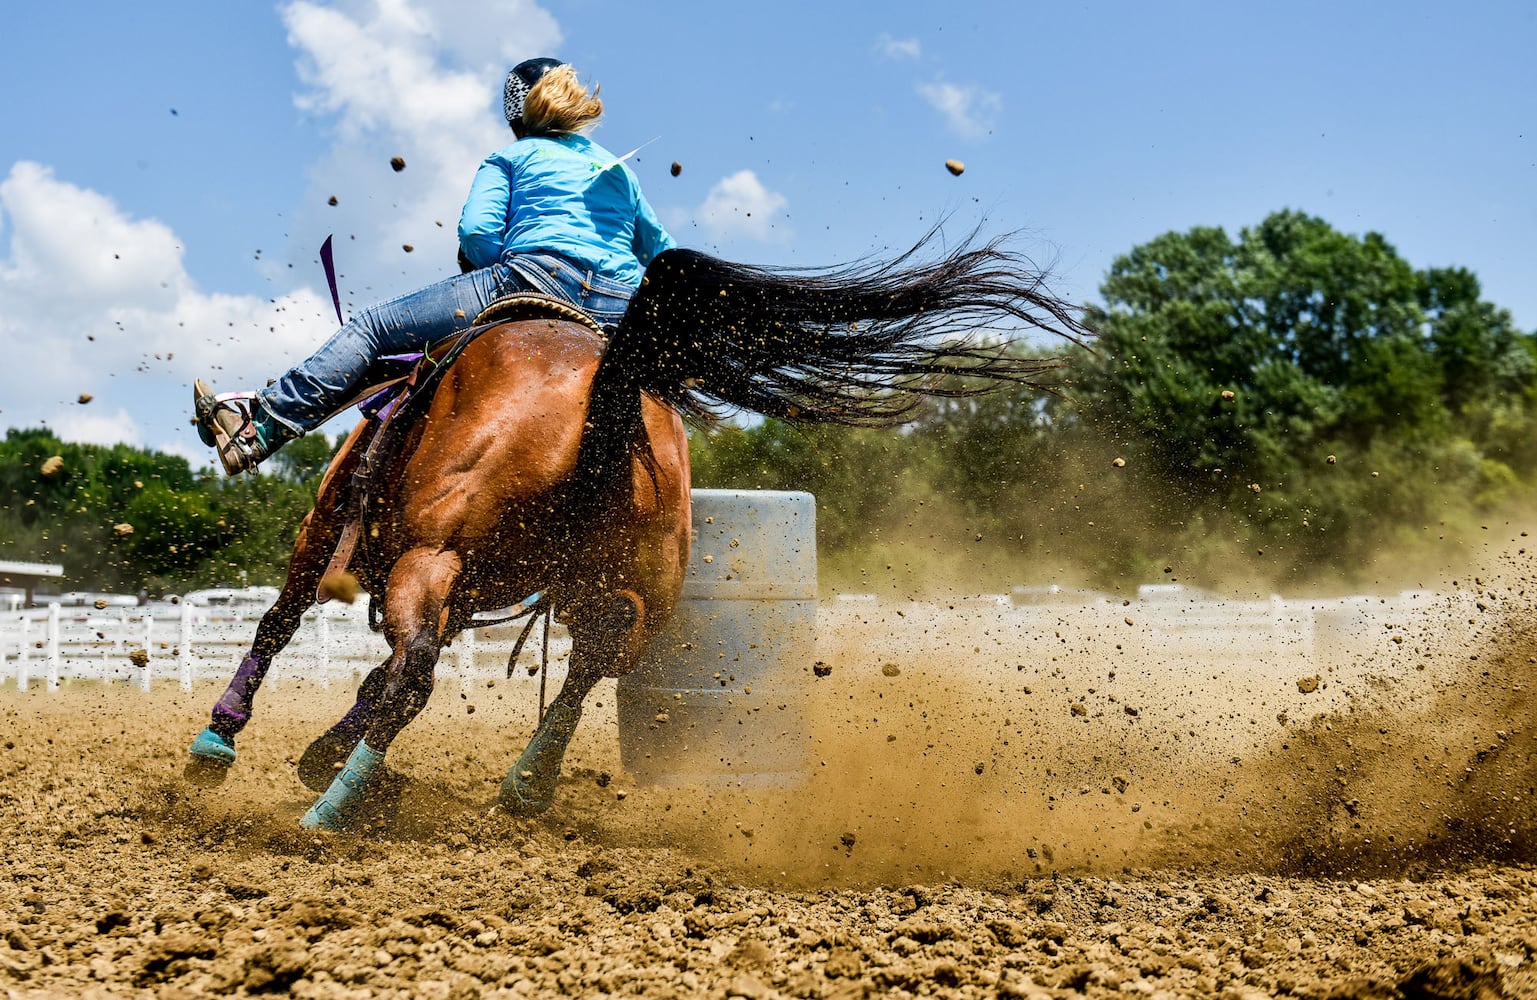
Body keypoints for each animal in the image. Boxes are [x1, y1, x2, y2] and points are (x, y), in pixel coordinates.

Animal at [182, 235, 1094, 829]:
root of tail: (605, 385)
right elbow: (372, 674)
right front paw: (320, 752)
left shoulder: (328, 529)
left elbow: (283, 623)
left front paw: (219, 743)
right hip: (622, 585)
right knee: (587, 664)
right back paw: (522, 788)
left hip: (432, 556)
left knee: (416, 674)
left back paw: (333, 811)